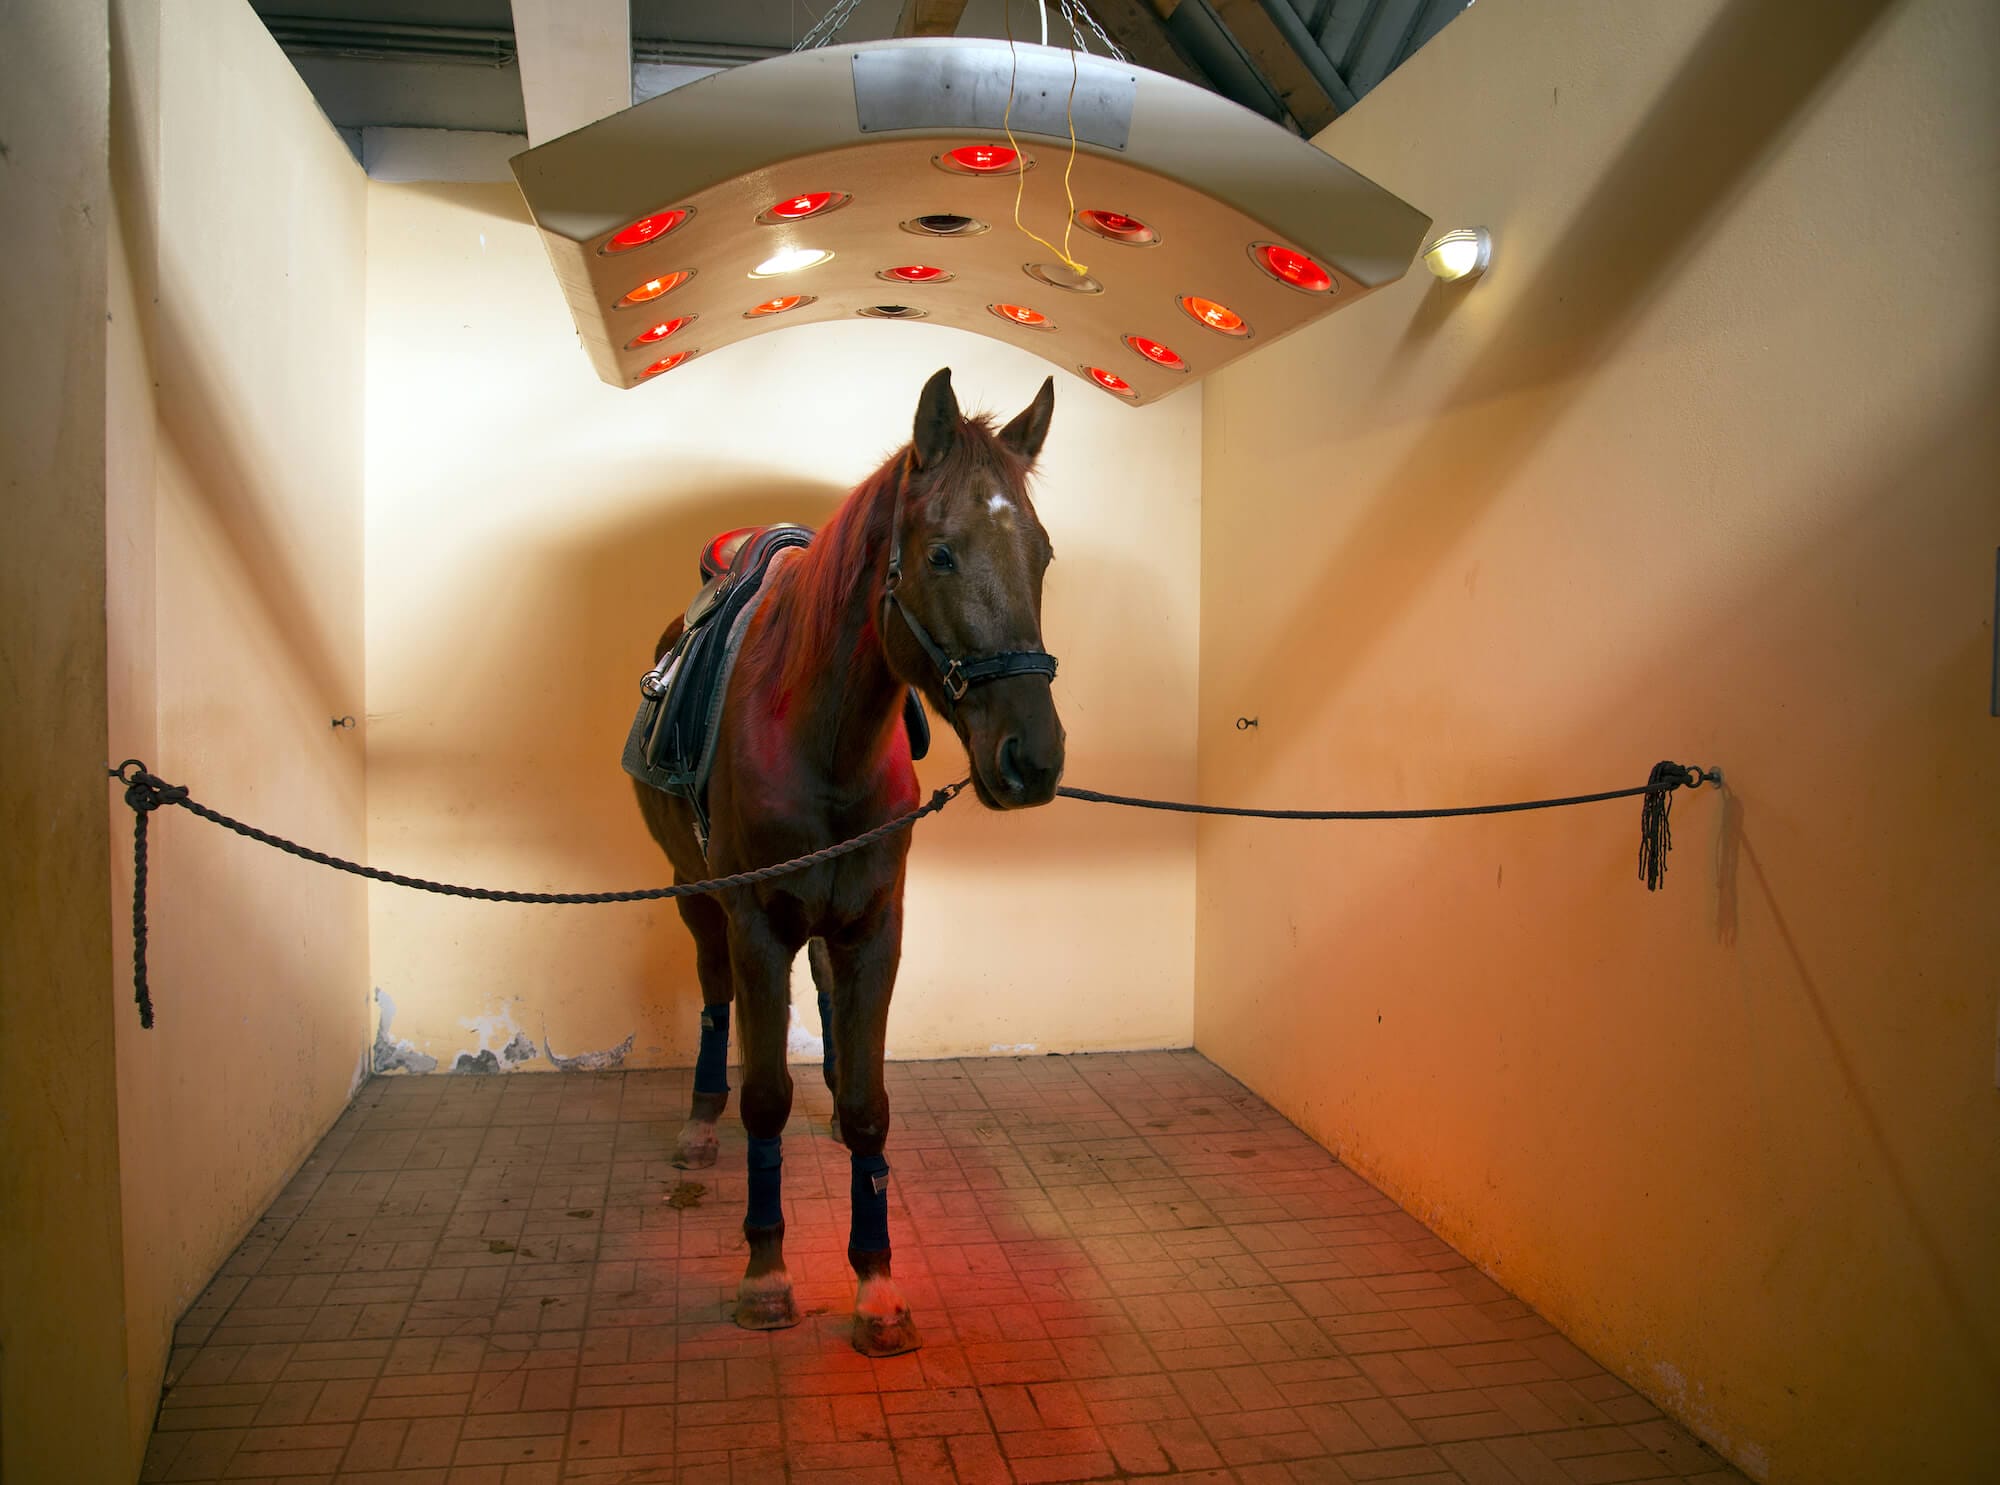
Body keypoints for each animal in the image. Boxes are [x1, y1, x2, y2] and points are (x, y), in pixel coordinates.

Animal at [633, 367, 1065, 1356]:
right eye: (940, 554)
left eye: (1043, 556)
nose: (1034, 758)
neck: (826, 737)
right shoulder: (755, 924)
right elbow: (763, 1096)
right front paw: (766, 1272)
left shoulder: (876, 923)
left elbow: (872, 1103)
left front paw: (875, 1282)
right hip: (694, 894)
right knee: (712, 995)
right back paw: (699, 1123)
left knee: (824, 991)